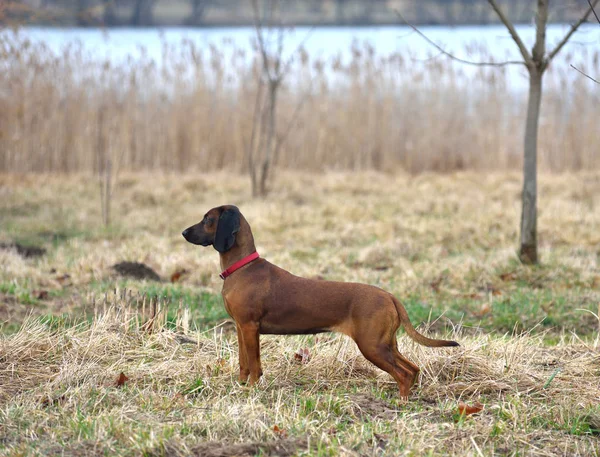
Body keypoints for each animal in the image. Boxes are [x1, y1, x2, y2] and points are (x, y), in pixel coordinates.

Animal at [180, 204, 458, 396]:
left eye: (208, 220)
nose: (183, 232)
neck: (242, 268)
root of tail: (389, 296)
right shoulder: (240, 328)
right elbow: (243, 363)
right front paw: (240, 386)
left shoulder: (250, 328)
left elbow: (255, 365)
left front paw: (251, 390)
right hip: (387, 344)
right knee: (412, 369)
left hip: (372, 346)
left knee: (403, 374)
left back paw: (401, 402)